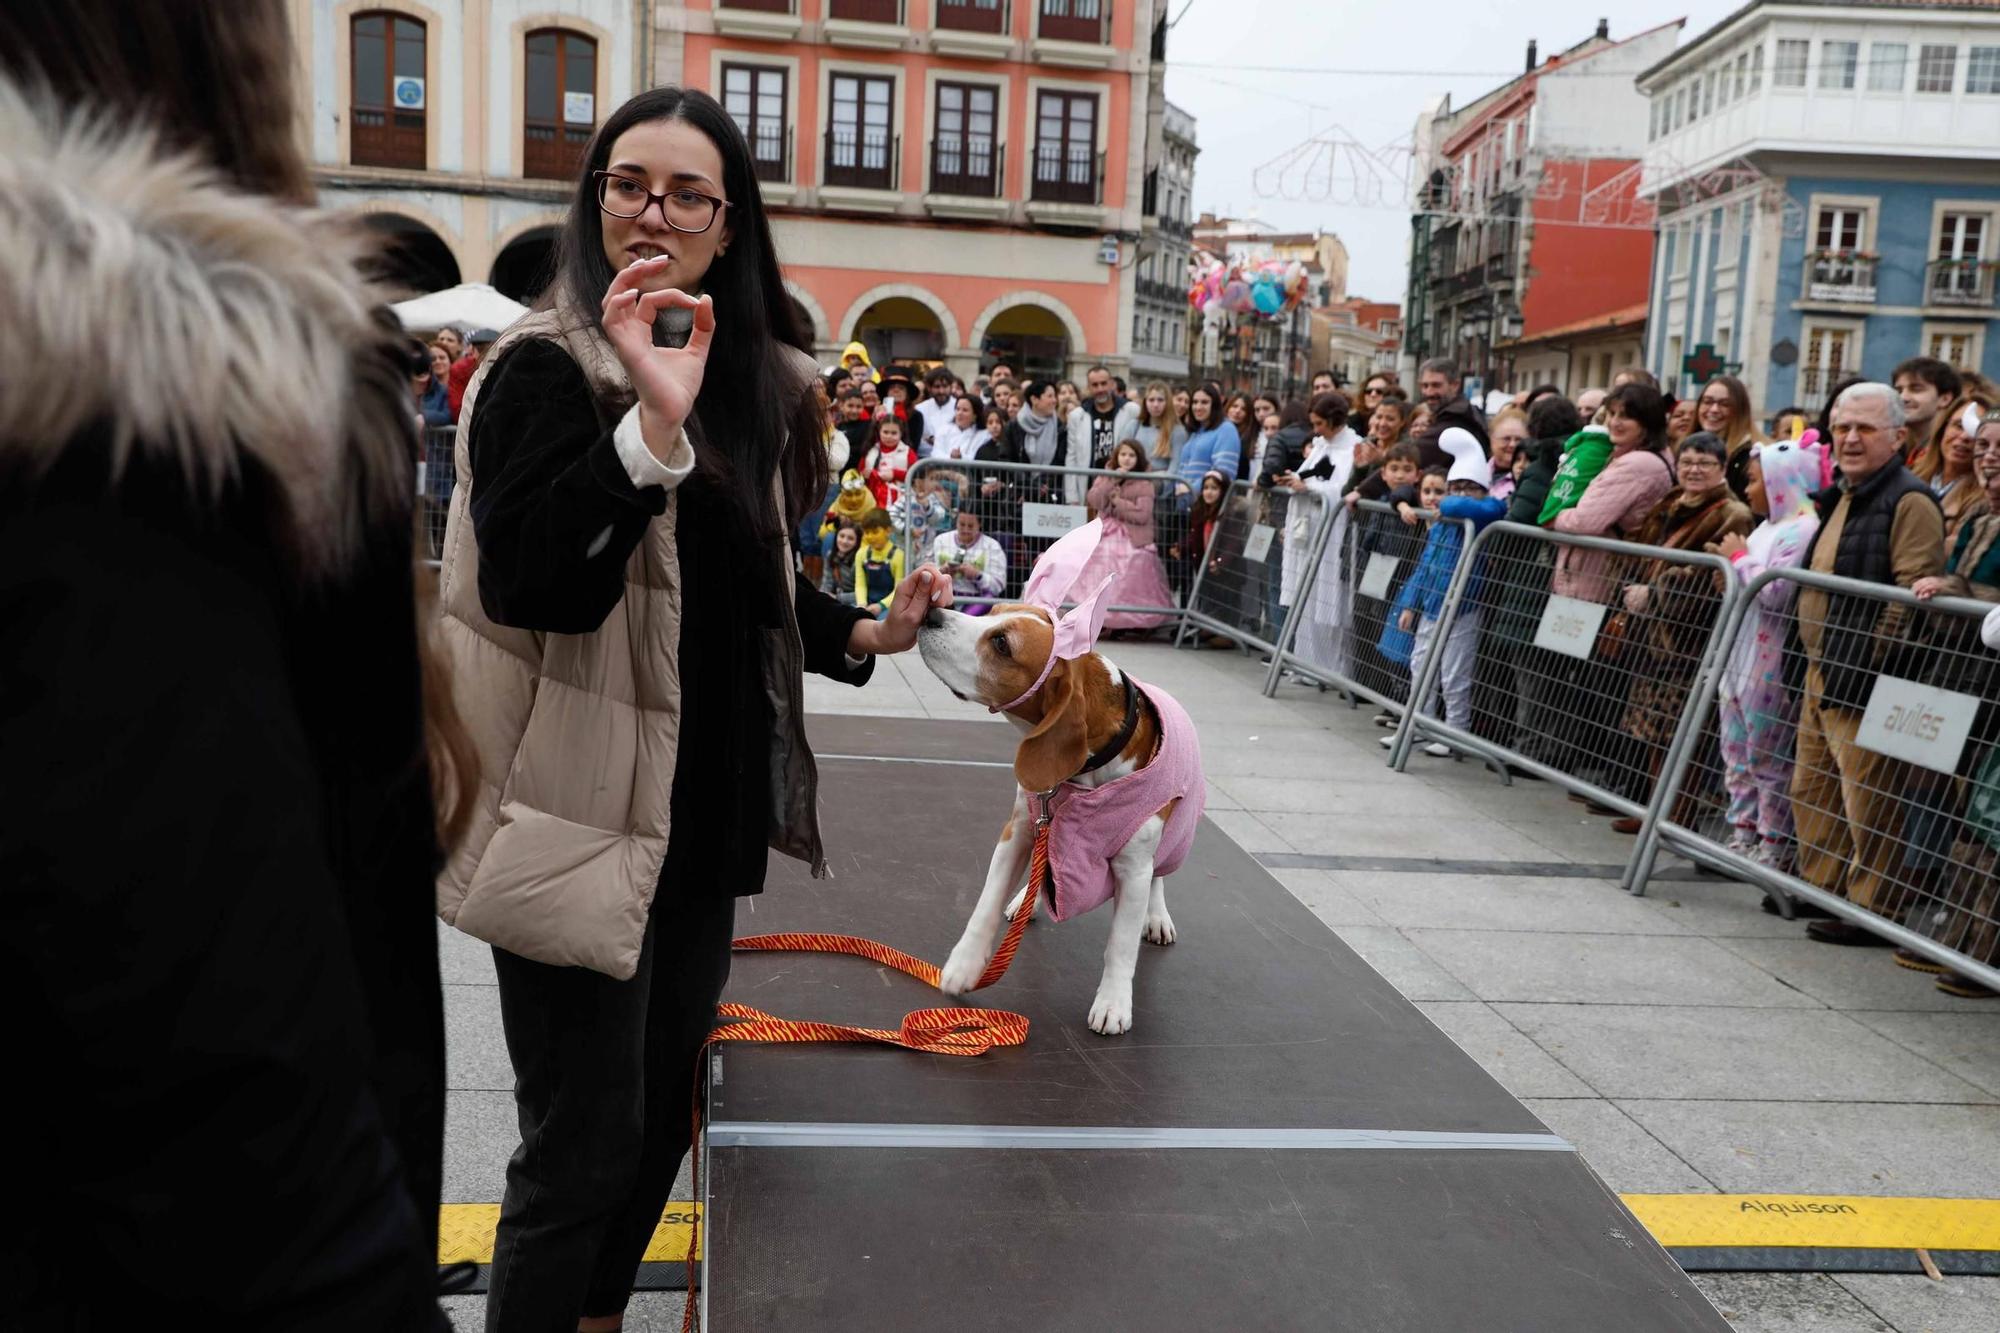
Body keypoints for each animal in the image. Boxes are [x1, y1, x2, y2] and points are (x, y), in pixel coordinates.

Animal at [916, 604, 1200, 1040]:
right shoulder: (1017, 831)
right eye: (993, 612)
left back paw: (1156, 916)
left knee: (1159, 877)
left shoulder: (1133, 867)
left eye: (1002, 643)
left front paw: (1113, 1002)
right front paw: (964, 965)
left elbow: (1121, 944)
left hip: (1174, 838)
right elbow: (984, 905)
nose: (930, 612)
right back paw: (1026, 901)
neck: (1085, 774)